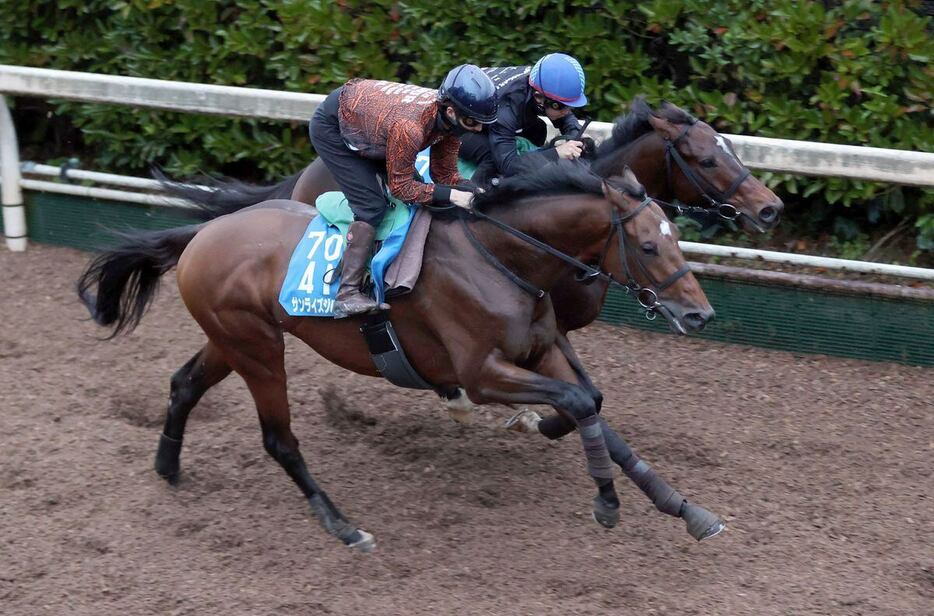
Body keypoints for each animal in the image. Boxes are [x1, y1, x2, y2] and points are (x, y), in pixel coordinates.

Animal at [78, 165, 724, 552]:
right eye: (648, 245)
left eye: (676, 239)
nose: (699, 315)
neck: (500, 256)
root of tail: (202, 236)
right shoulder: (481, 373)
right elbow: (575, 402)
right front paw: (607, 503)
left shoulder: (543, 349)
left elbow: (589, 400)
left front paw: (682, 507)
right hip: (258, 349)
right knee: (278, 439)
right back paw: (342, 526)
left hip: (232, 338)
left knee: (184, 383)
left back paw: (167, 466)